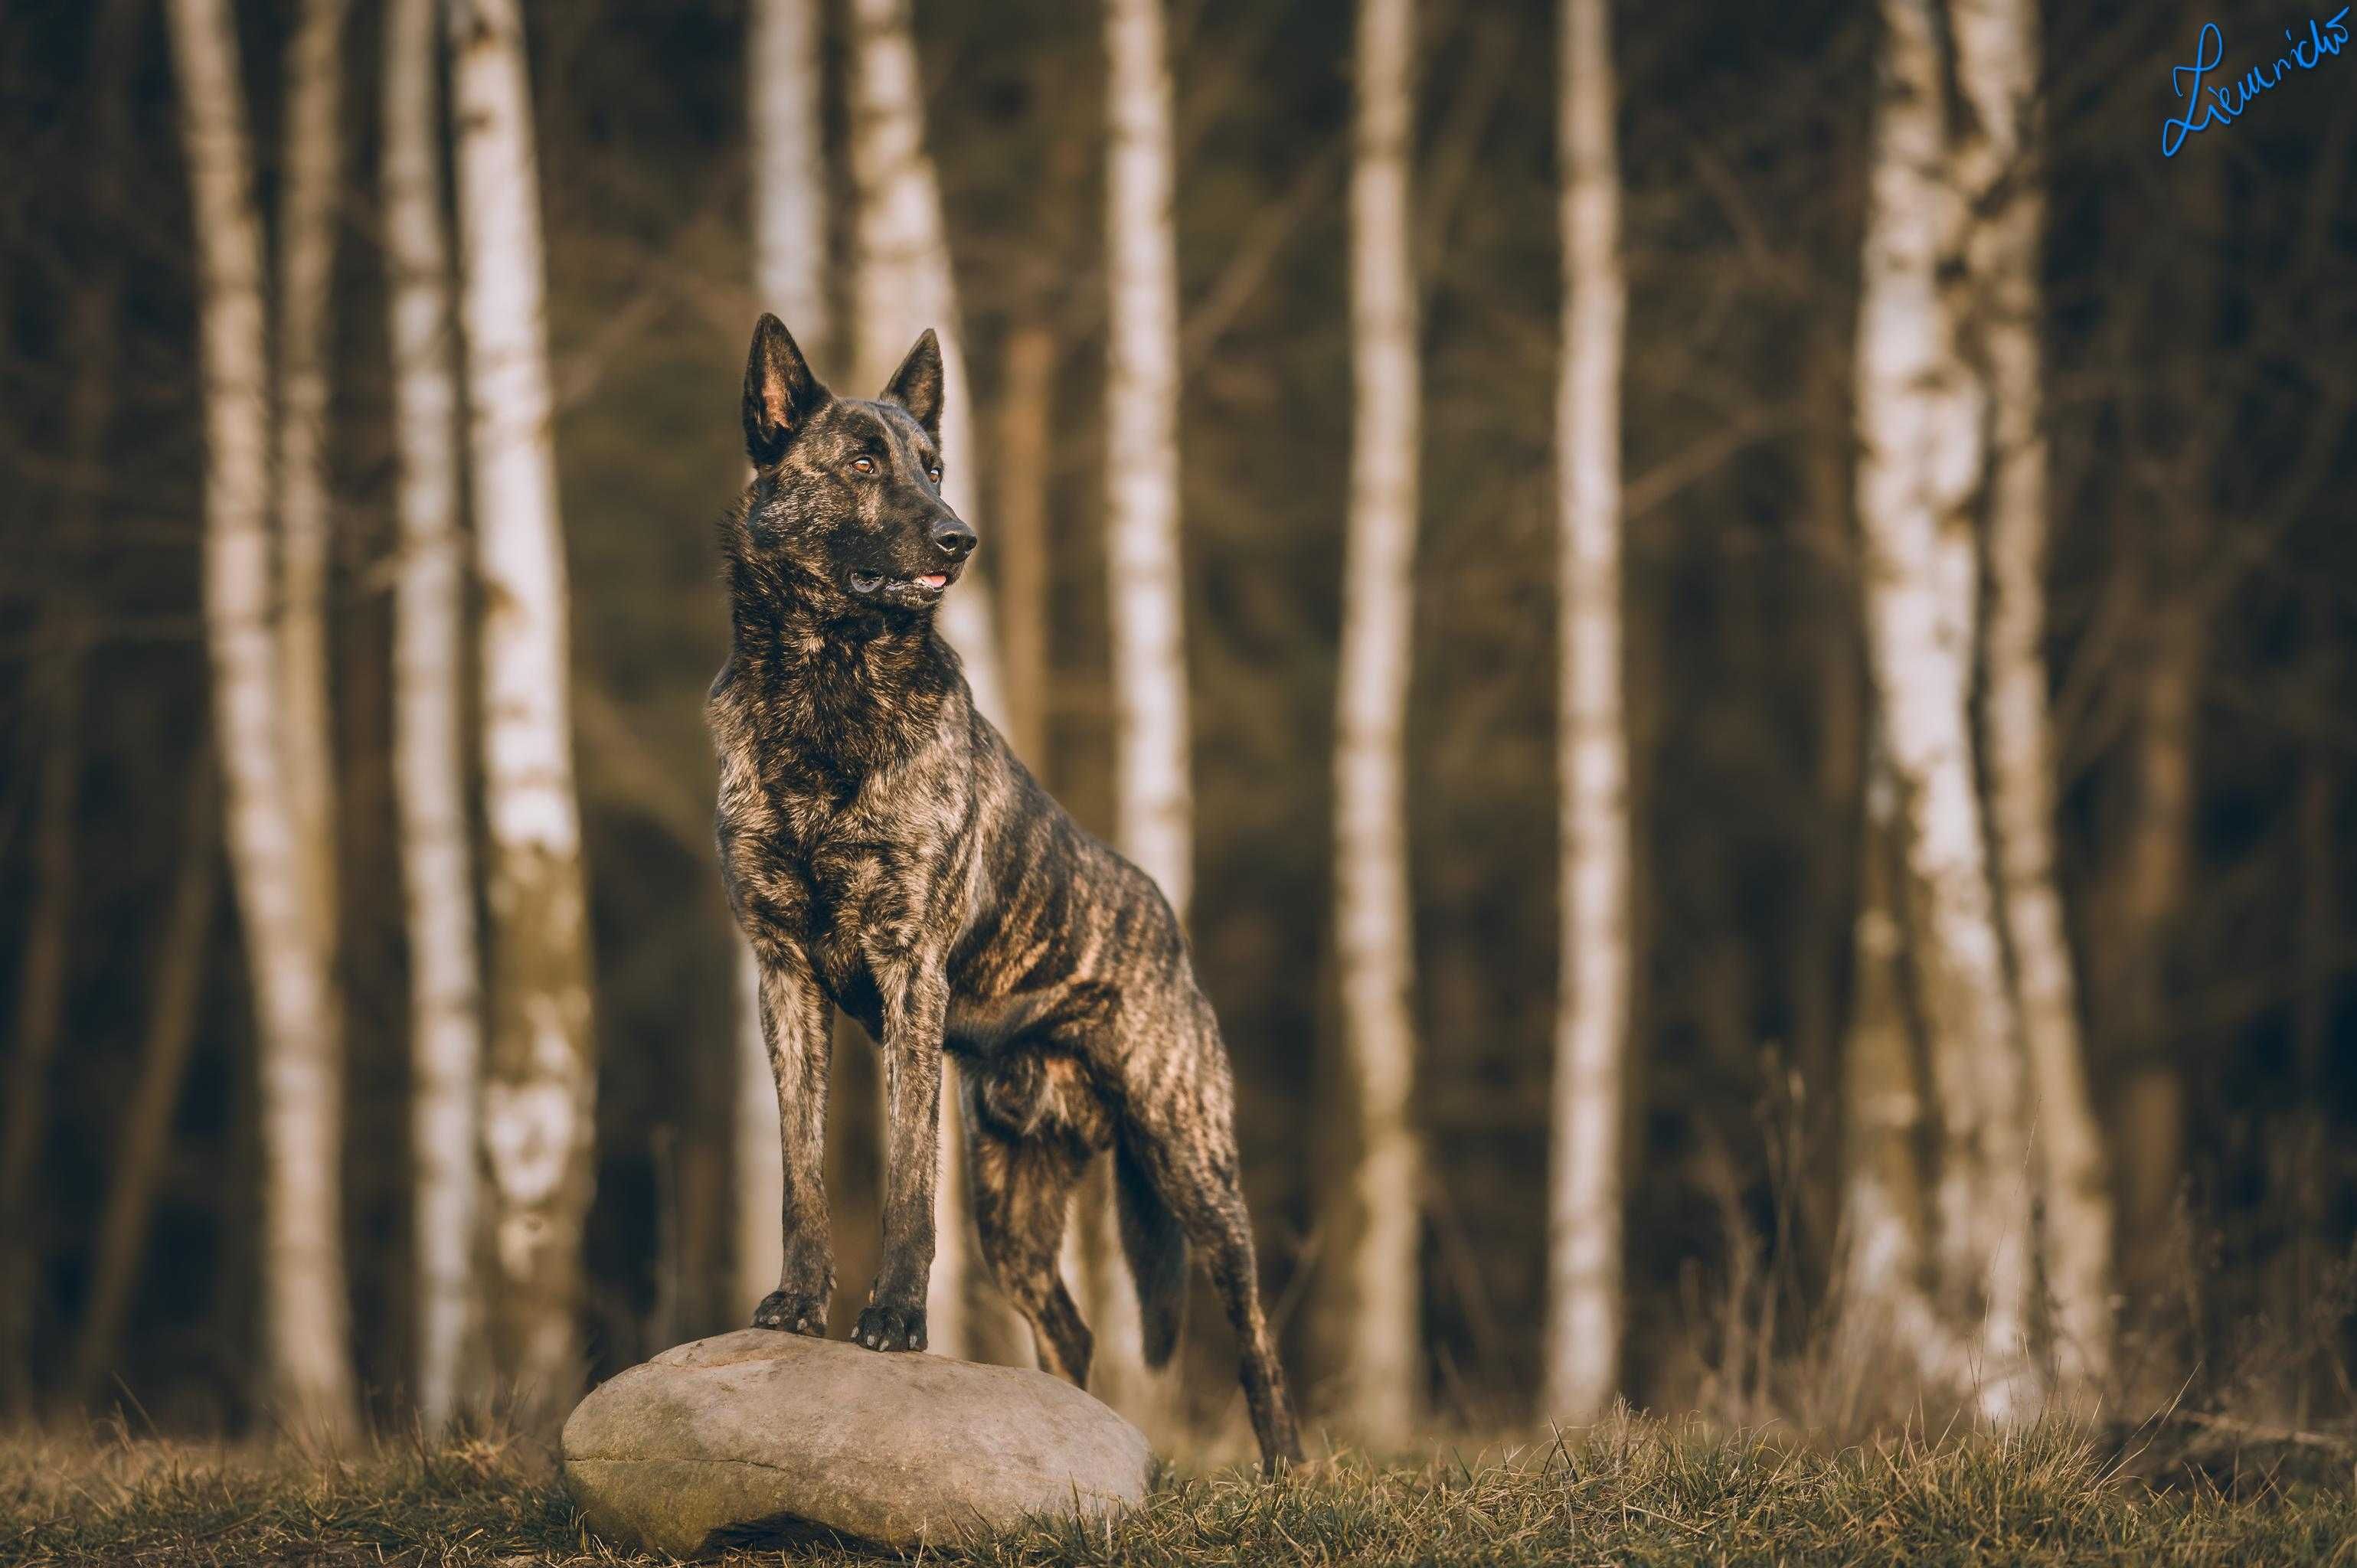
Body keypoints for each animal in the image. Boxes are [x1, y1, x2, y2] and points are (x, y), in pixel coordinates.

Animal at [711, 315, 1310, 1471]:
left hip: (1190, 1161)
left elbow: (906, 1184)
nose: (961, 540)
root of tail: (1164, 919)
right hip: (1015, 1198)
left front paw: (895, 1321)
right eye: (864, 463)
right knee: (1070, 1327)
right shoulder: (784, 979)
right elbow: (803, 1174)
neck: (825, 688)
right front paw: (798, 1304)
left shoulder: (909, 976)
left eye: (933, 466)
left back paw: (1285, 1468)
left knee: (1255, 1331)